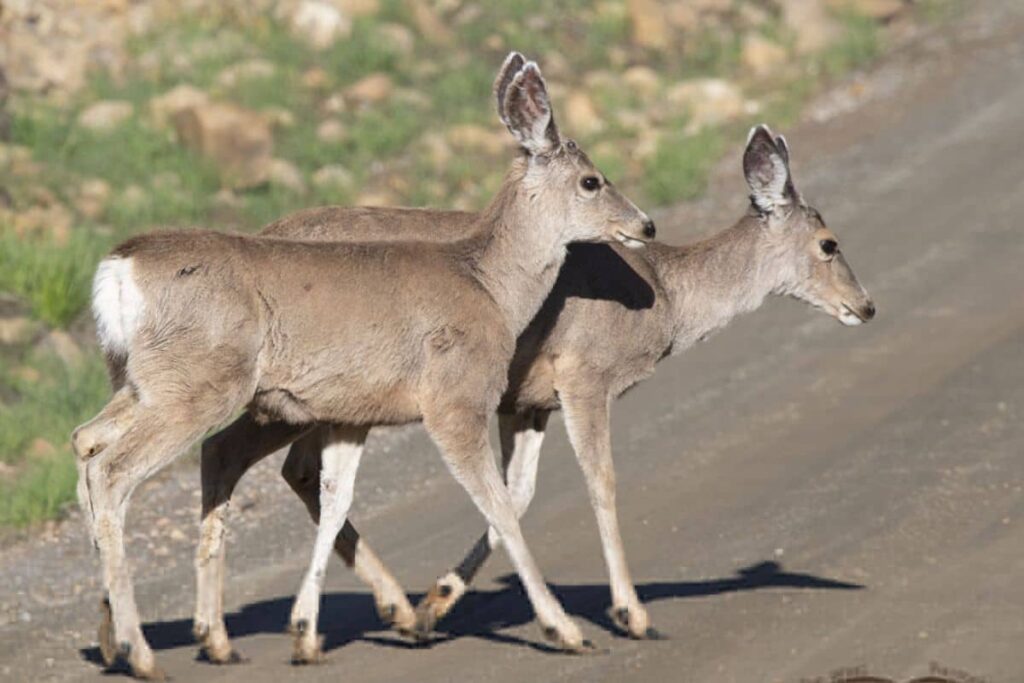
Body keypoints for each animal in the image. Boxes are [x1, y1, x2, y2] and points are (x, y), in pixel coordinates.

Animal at [70, 52, 655, 679]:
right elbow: (499, 504)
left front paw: (312, 631)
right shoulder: (454, 396)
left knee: (87, 440)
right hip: (197, 385)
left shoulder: (352, 412)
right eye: (592, 180)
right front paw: (565, 629)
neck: (489, 285)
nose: (645, 225)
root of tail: (117, 269)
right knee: (115, 471)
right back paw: (143, 652)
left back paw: (164, 639)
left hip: (142, 383)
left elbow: (338, 498)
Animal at [192, 124, 876, 661]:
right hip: (297, 396)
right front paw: (632, 615)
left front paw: (437, 602)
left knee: (276, 465)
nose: (866, 306)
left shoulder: (526, 402)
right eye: (829, 244)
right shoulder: (584, 378)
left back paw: (375, 614)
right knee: (242, 455)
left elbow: (515, 494)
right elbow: (599, 480)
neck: (666, 299)